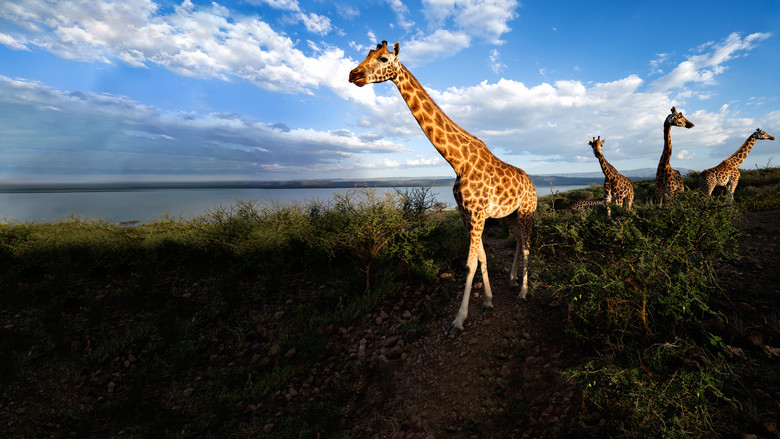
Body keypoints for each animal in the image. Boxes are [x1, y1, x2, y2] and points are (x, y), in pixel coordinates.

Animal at [349, 41, 537, 334]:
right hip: (510, 215)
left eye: (383, 59)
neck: (457, 162)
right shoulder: (467, 215)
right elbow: (482, 257)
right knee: (517, 240)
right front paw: (488, 301)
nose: (353, 74)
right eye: (367, 55)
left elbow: (470, 263)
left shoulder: (477, 215)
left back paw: (523, 293)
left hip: (528, 211)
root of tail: (531, 183)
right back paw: (513, 280)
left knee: (527, 245)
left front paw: (459, 320)